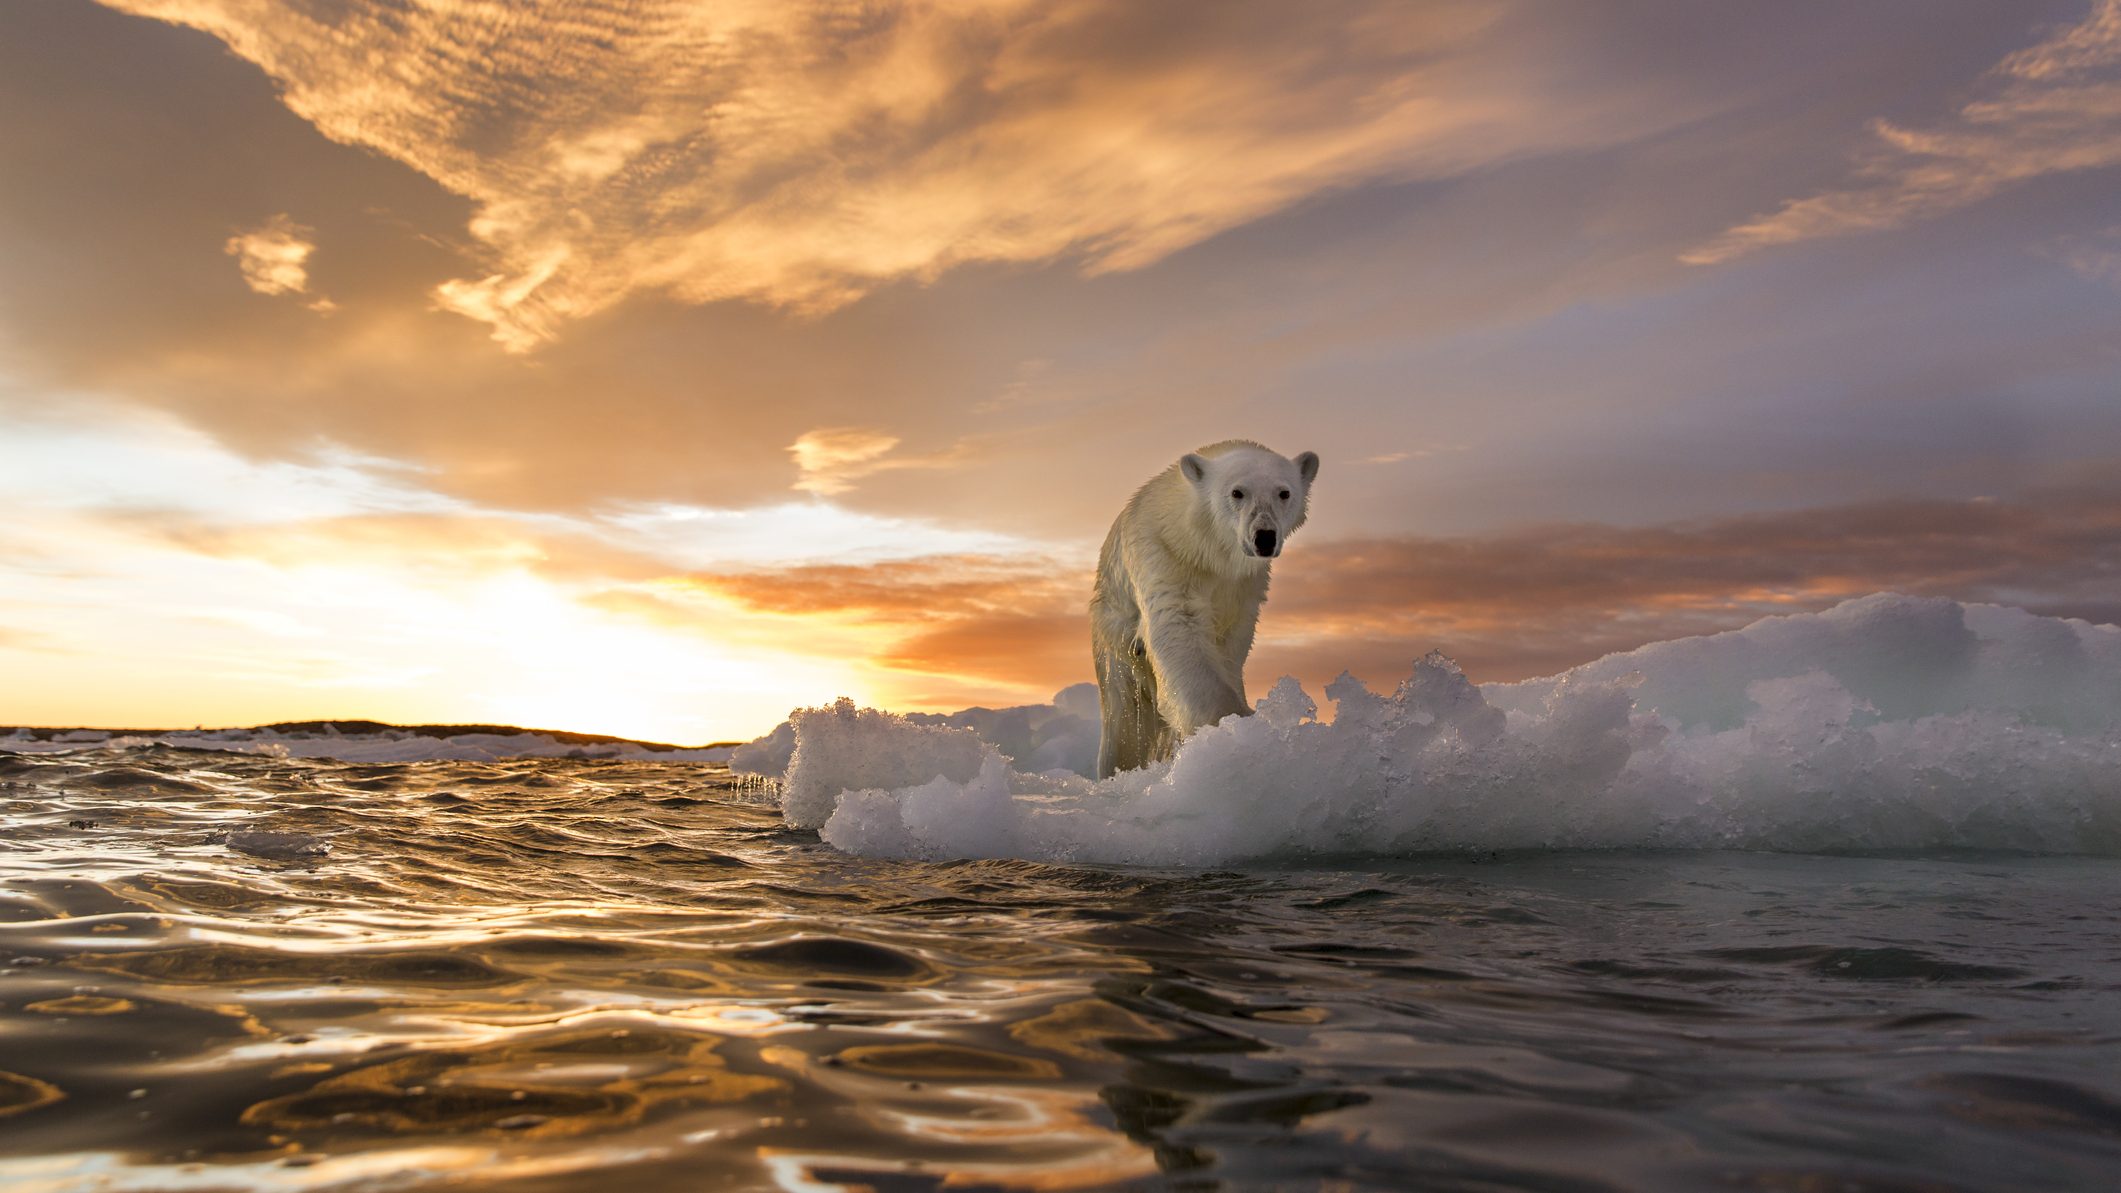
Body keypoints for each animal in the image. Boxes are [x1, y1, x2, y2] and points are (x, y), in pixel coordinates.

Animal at [1094, 437, 1306, 772]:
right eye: (1237, 492)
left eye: (1284, 492)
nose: (1264, 537)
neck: (1206, 550)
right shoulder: (1165, 556)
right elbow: (1179, 628)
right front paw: (1232, 725)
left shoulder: (1244, 587)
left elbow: (1230, 643)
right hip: (1114, 636)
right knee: (1125, 719)